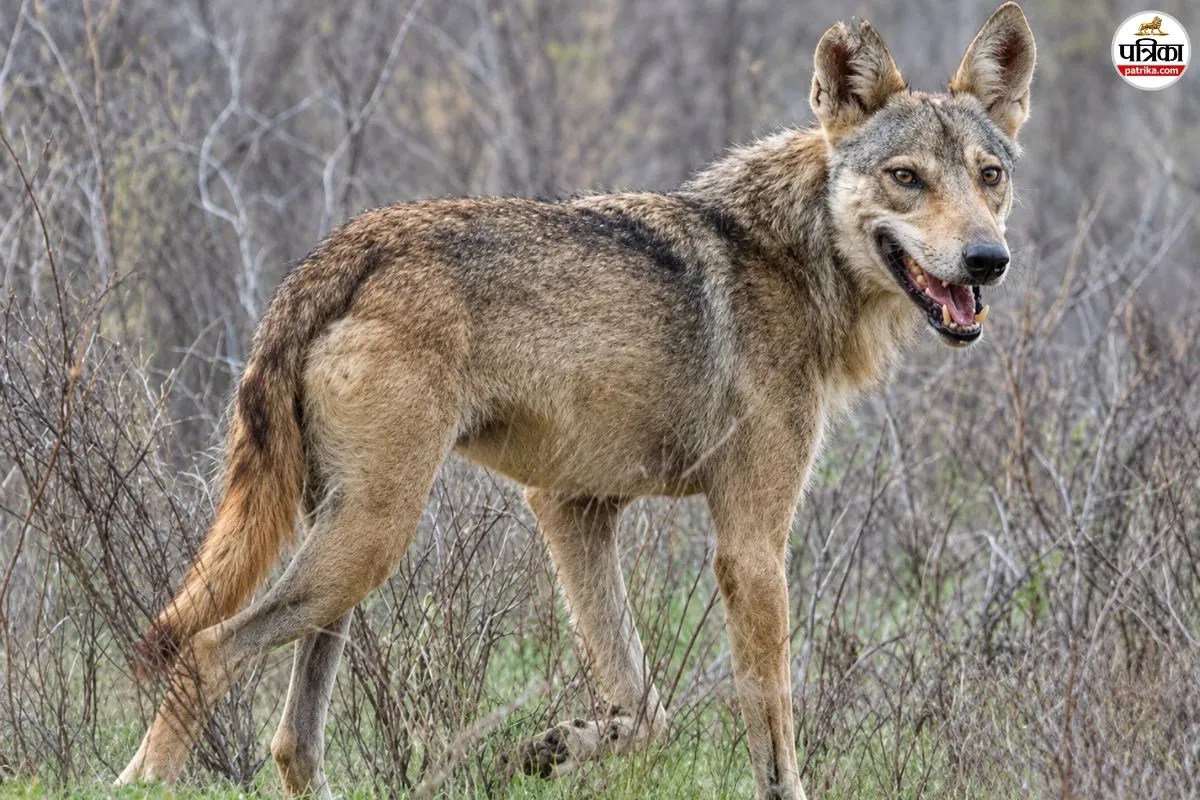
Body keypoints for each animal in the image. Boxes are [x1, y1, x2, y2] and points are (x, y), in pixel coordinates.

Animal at [116, 4, 1035, 799]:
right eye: (907, 178)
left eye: (988, 177)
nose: (988, 260)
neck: (790, 257)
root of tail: (346, 247)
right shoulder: (749, 547)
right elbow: (771, 737)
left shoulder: (573, 508)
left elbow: (646, 711)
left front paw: (546, 748)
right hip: (368, 539)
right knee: (204, 649)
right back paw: (138, 781)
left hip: (347, 559)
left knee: (292, 741)